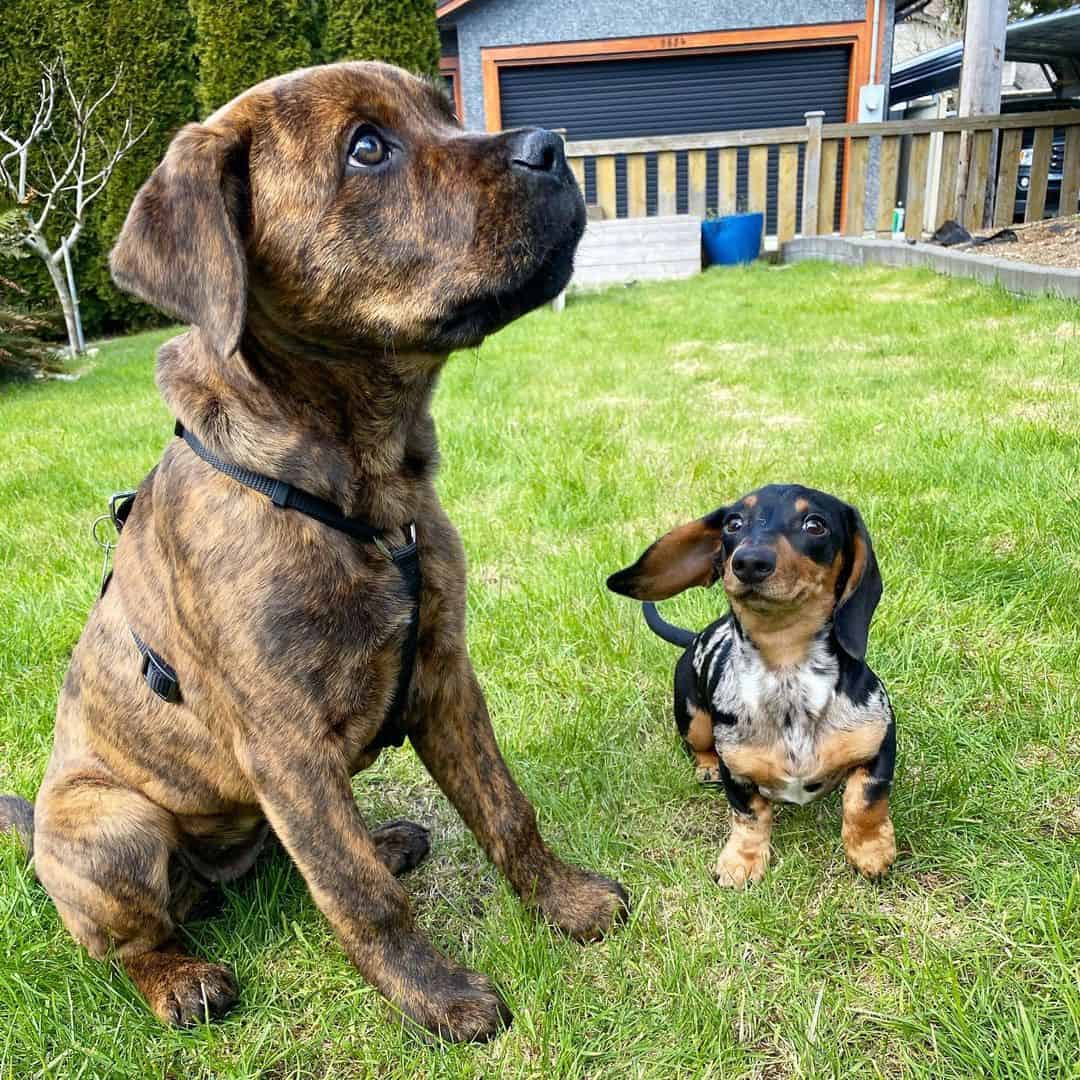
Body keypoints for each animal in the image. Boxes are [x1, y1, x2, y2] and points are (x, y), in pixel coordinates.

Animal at [0, 63, 630, 1041]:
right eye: (366, 147)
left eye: (442, 109)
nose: (554, 148)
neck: (359, 490)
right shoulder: (285, 745)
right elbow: (357, 895)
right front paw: (437, 996)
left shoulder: (446, 676)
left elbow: (504, 809)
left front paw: (563, 903)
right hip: (111, 825)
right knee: (135, 943)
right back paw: (182, 980)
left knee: (293, 859)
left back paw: (387, 838)